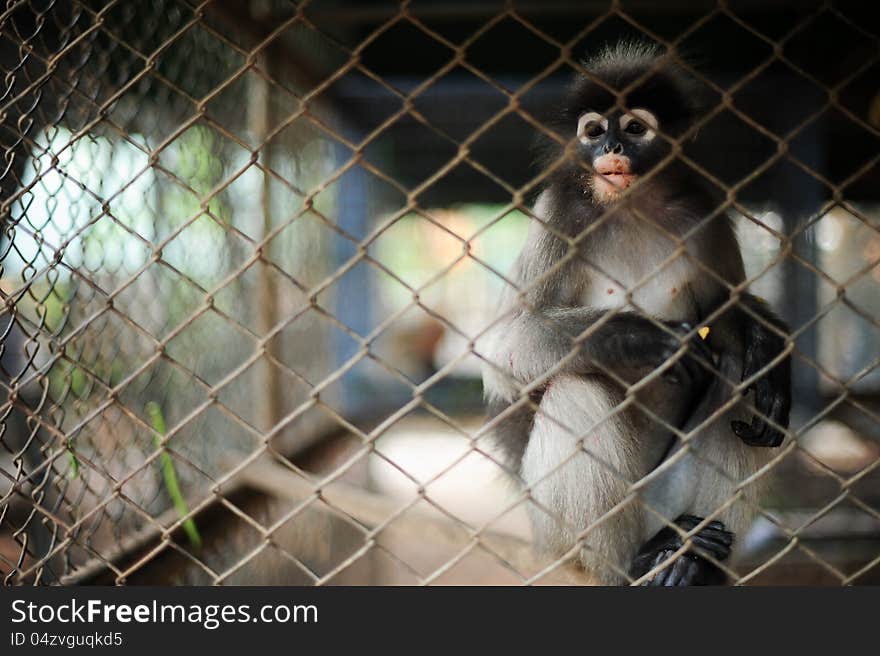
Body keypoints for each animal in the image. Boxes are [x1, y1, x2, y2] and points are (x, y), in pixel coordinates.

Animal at [482, 43, 792, 588]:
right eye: (593, 131)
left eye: (632, 128)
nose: (612, 148)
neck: (631, 206)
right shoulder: (559, 211)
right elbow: (504, 351)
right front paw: (638, 337)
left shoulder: (705, 214)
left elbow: (727, 323)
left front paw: (765, 343)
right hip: (558, 537)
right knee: (576, 386)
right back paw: (635, 563)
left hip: (663, 500)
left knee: (738, 375)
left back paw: (692, 559)